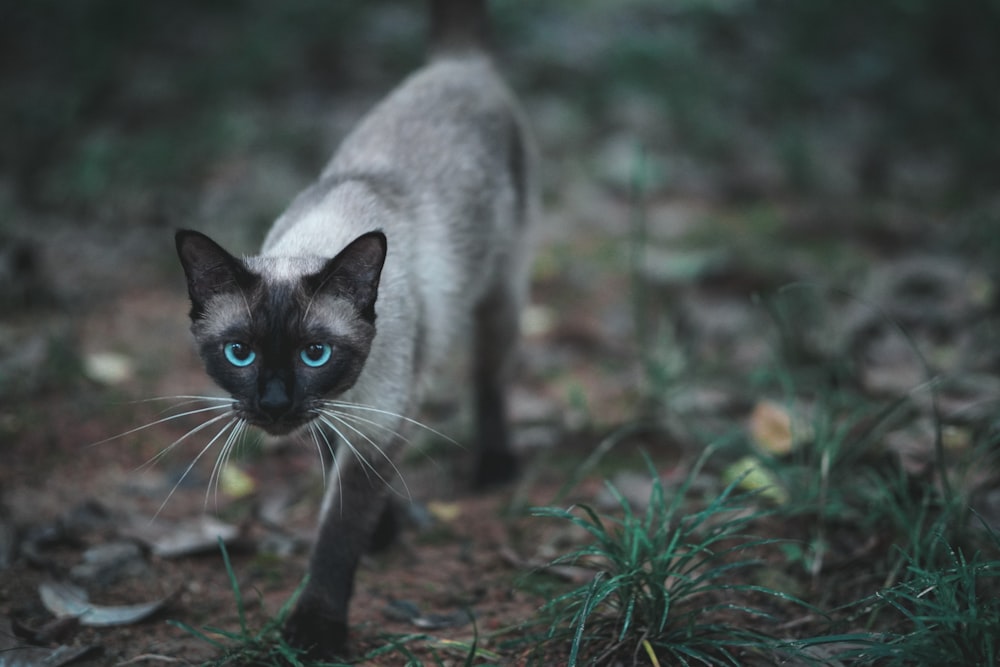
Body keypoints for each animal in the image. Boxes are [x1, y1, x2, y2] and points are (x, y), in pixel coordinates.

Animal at [174, 0, 532, 656]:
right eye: (239, 353)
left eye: (315, 353)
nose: (274, 404)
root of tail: (459, 63)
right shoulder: (339, 414)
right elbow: (334, 471)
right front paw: (383, 532)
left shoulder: (378, 419)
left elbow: (336, 535)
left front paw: (314, 634)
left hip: (501, 295)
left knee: (490, 378)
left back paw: (495, 467)